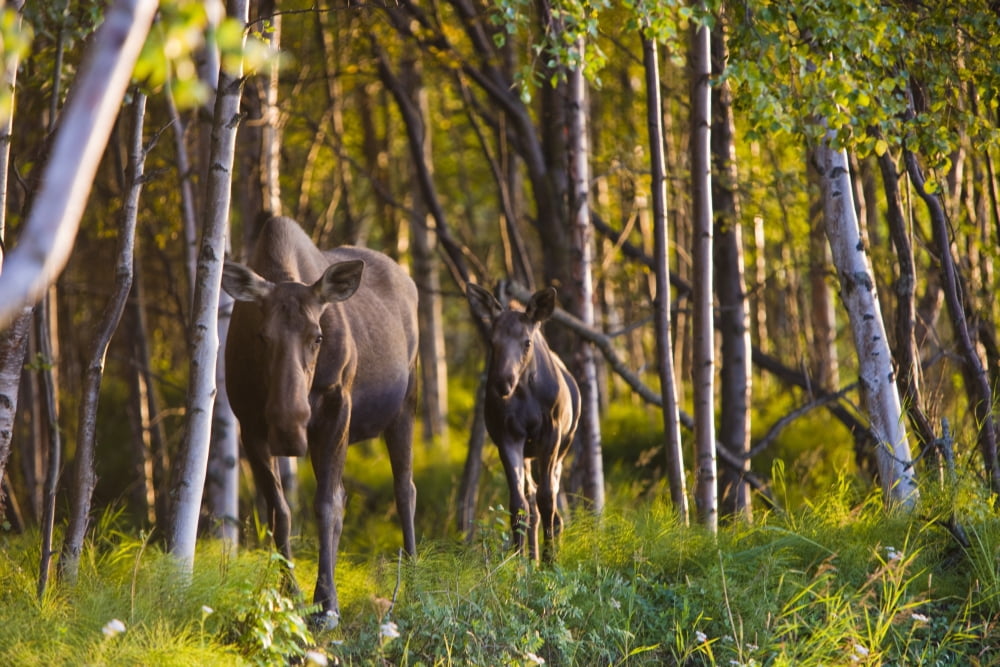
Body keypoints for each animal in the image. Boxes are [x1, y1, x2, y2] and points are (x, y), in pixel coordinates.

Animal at [221, 216, 417, 628]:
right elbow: (280, 511)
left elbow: (325, 505)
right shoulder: (249, 423)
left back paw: (409, 583)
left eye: (318, 337)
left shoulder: (336, 406)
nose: (289, 428)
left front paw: (327, 604)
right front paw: (291, 596)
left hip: (407, 401)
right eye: (262, 336)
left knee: (404, 489)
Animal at [466, 283, 580, 561]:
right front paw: (518, 563)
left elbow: (547, 499)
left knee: (551, 500)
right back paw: (532, 557)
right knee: (531, 501)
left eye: (527, 342)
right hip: (530, 453)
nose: (503, 382)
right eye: (492, 341)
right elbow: (518, 504)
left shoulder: (550, 435)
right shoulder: (508, 436)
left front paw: (551, 560)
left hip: (562, 448)